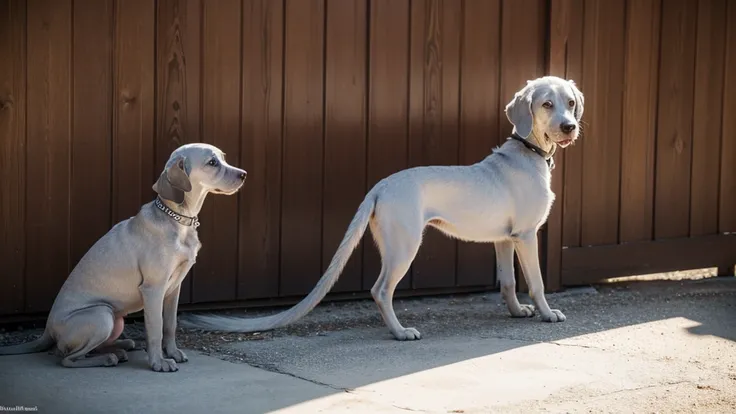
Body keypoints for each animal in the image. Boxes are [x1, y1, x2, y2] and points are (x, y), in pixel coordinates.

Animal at [0, 143, 247, 372]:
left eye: (223, 158)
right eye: (212, 163)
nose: (244, 174)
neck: (177, 220)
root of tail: (47, 330)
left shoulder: (173, 289)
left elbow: (170, 325)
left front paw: (173, 353)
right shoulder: (153, 289)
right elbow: (155, 328)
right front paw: (159, 363)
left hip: (114, 320)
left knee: (82, 351)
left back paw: (121, 347)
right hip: (102, 315)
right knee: (66, 358)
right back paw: (109, 358)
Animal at [181, 76, 584, 342]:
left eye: (570, 103)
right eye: (546, 104)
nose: (569, 127)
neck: (529, 152)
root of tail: (380, 186)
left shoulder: (504, 238)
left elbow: (508, 282)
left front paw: (517, 312)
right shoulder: (527, 236)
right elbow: (536, 282)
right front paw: (548, 313)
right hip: (405, 246)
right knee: (380, 289)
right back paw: (400, 332)